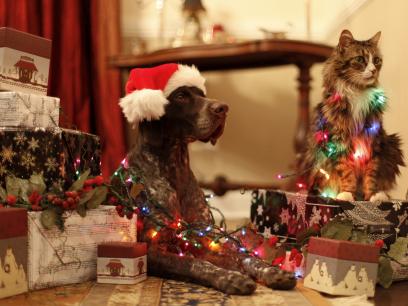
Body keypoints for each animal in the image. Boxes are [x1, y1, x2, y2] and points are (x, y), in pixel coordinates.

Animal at [118, 64, 296, 294]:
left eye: (202, 95)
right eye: (181, 96)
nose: (223, 108)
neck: (175, 168)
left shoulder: (204, 237)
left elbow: (243, 256)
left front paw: (270, 271)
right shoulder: (152, 247)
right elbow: (192, 262)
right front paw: (229, 277)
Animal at [300, 29, 404, 202]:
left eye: (377, 61)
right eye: (360, 59)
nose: (373, 70)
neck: (357, 90)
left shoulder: (373, 141)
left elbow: (372, 174)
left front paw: (373, 196)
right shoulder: (337, 141)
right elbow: (346, 172)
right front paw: (347, 194)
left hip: (392, 145)